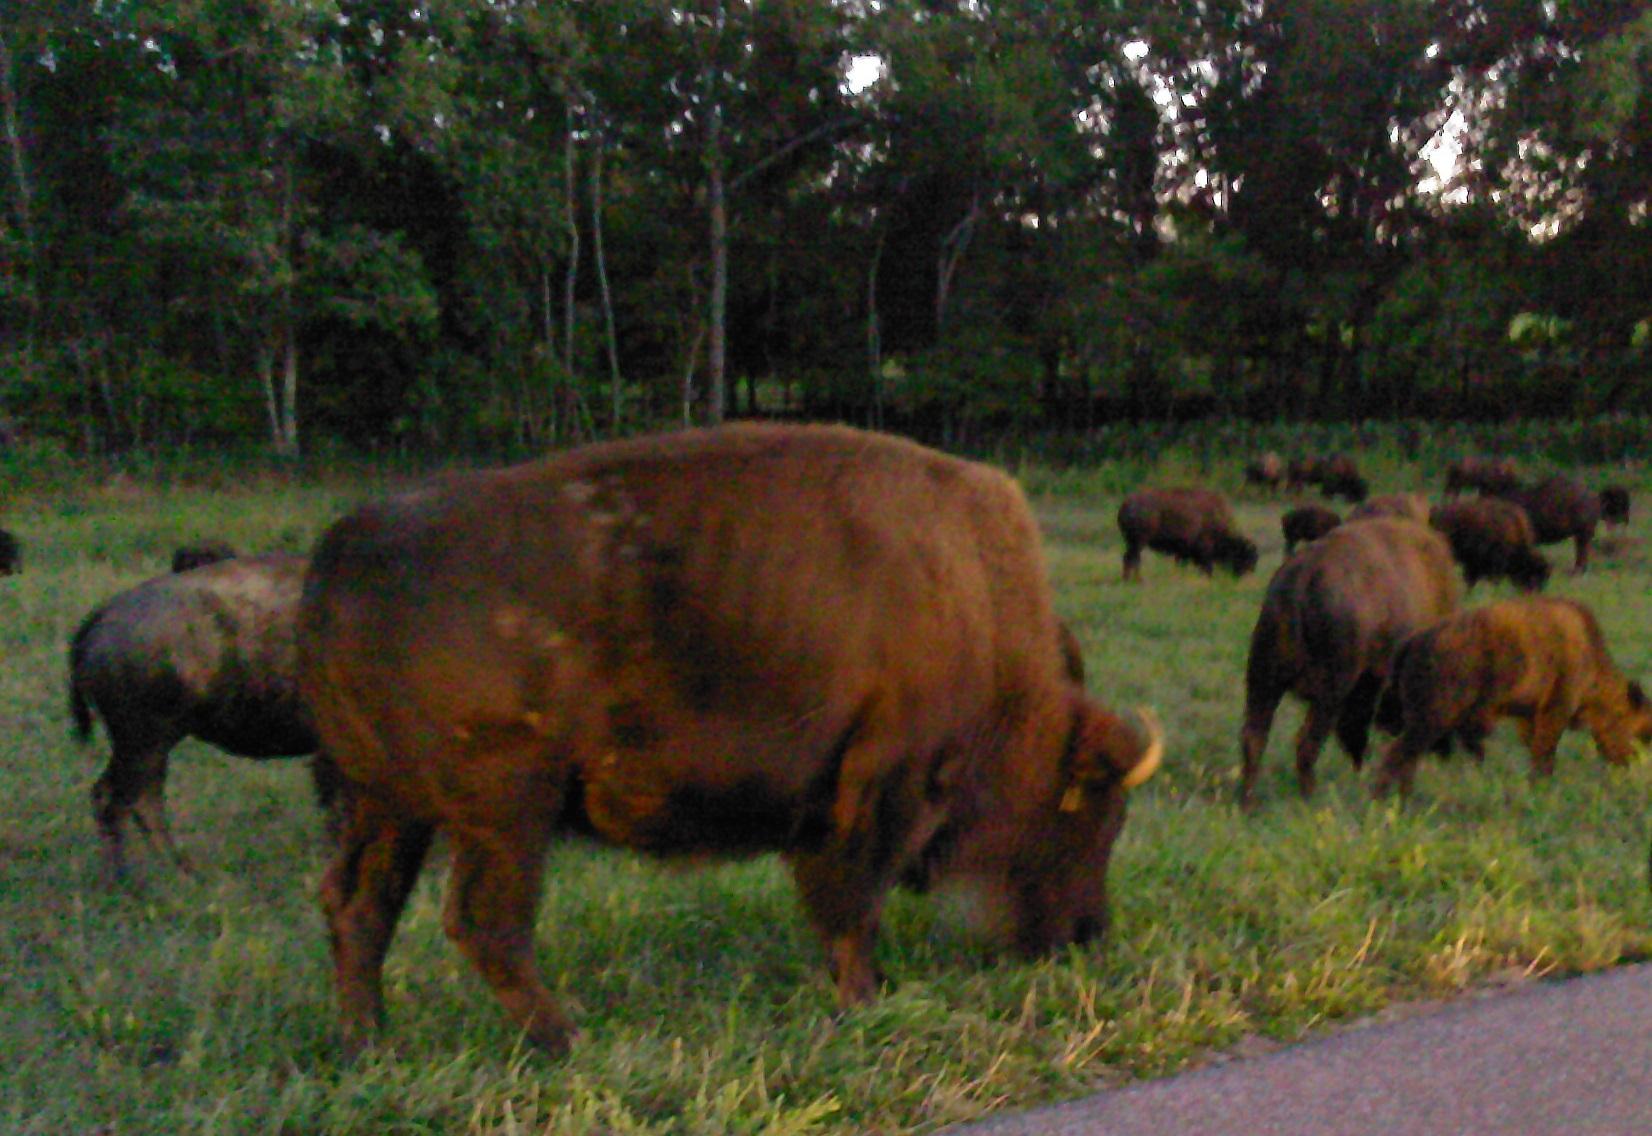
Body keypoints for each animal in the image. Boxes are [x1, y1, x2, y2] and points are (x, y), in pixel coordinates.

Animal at [69, 554, 316, 878]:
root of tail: (107, 612)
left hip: (144, 747)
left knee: (122, 797)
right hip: (147, 743)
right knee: (125, 802)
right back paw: (144, 877)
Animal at [296, 422, 1163, 1057]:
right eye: (1097, 813)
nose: (1086, 936)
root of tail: (340, 555)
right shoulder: (881, 793)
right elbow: (853, 904)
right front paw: (865, 1000)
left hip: (389, 807)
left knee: (359, 906)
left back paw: (367, 1044)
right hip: (503, 811)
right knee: (484, 923)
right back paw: (568, 1038)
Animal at [1117, 487, 1258, 581]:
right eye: (1246, 556)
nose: (1250, 572)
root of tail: (1127, 503)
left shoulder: (1183, 552)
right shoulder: (1204, 550)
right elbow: (1207, 567)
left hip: (1132, 542)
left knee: (1131, 558)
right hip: (1138, 542)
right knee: (1132, 559)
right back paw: (1136, 580)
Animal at [1239, 518, 1461, 807]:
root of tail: (1302, 577)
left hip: (1263, 680)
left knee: (1254, 738)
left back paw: (1248, 803)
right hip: (1328, 691)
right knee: (1305, 743)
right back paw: (1310, 799)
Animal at [1373, 597, 1652, 797]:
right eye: (1639, 732)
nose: (1630, 765)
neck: (1589, 651)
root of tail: (1413, 642)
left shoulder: (1529, 716)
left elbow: (1535, 749)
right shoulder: (1556, 709)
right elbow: (1545, 752)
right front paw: (1542, 788)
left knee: (1407, 759)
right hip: (1431, 720)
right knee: (1398, 755)